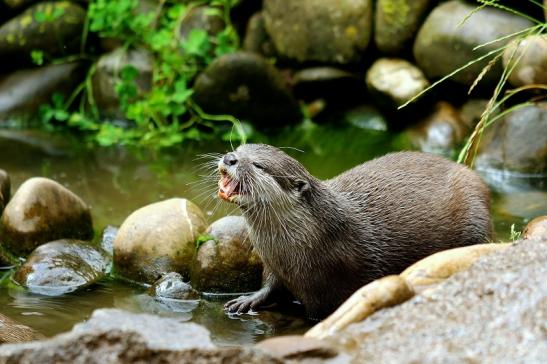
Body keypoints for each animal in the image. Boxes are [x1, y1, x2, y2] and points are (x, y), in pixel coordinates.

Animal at [217, 143, 492, 318]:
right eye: (239, 149)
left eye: (258, 165)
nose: (230, 158)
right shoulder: (274, 264)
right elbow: (270, 285)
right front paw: (248, 300)